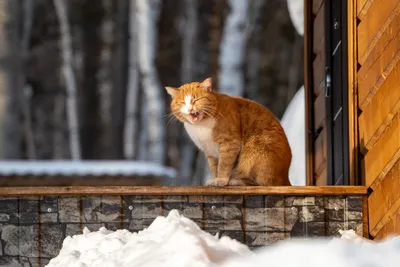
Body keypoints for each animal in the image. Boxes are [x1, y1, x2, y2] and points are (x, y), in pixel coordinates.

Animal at [164, 77, 292, 186]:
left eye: (196, 99)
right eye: (182, 102)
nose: (190, 109)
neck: (201, 126)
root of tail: (285, 175)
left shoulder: (230, 143)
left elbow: (224, 164)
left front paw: (221, 180)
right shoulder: (209, 150)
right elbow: (214, 166)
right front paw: (215, 178)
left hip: (254, 149)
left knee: (258, 182)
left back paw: (233, 181)